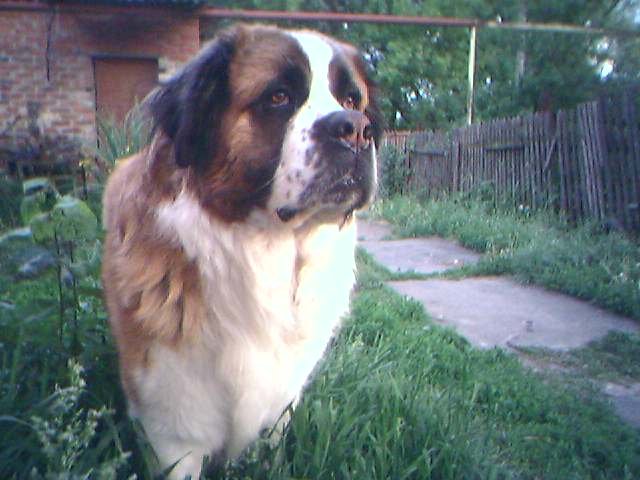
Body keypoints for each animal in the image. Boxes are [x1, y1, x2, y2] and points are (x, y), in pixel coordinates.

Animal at [102, 24, 381, 479]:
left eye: (353, 101)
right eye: (279, 97)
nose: (356, 128)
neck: (268, 251)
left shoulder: (278, 407)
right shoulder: (173, 422)